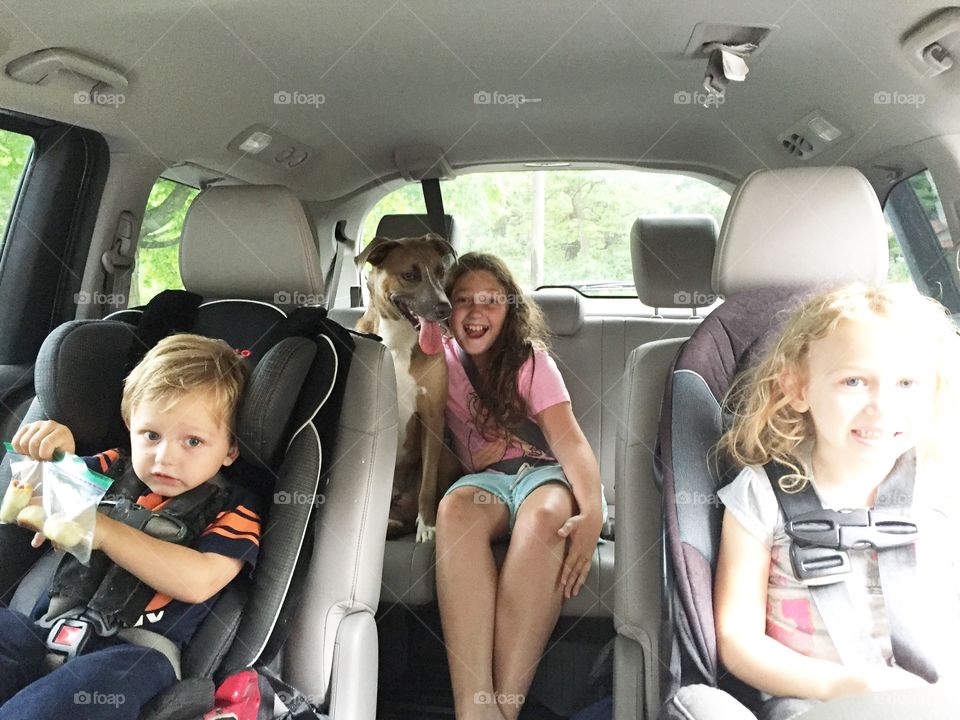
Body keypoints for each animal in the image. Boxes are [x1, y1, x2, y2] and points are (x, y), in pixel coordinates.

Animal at [356, 233, 458, 544]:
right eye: (410, 275)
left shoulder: (433, 416)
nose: (445, 308)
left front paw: (427, 526)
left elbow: (428, 485)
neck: (399, 341)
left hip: (446, 455)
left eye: (440, 271)